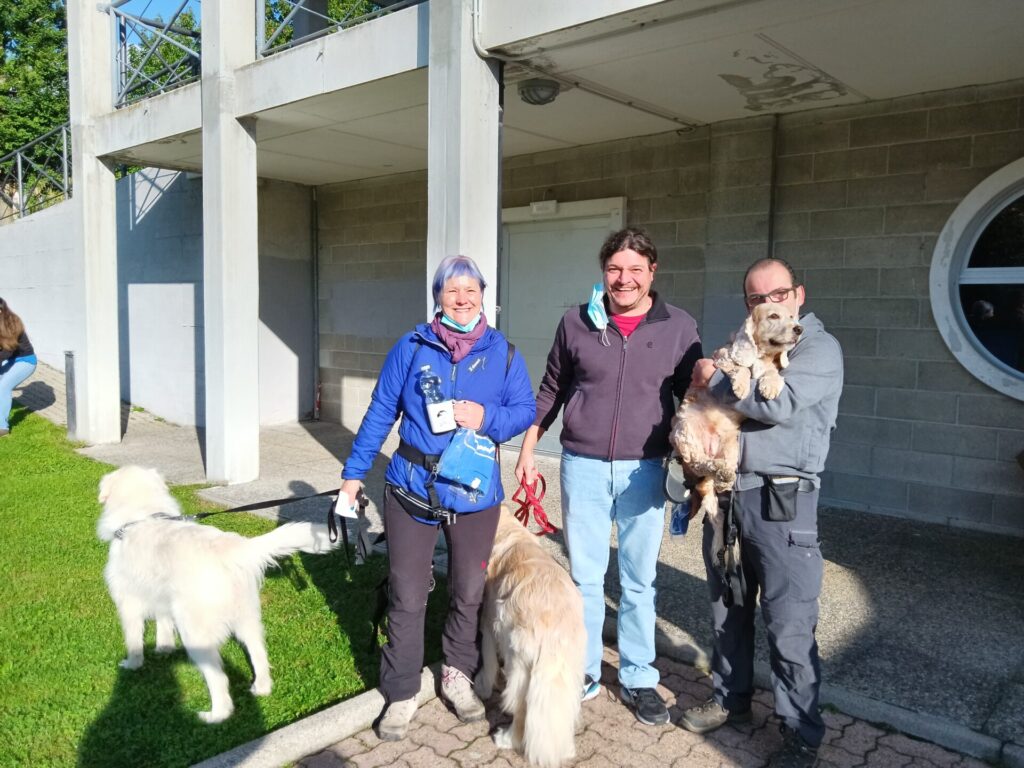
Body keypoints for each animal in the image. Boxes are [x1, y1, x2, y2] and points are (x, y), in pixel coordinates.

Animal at [96, 466, 335, 724]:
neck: (143, 515)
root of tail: (232, 549)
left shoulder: (128, 602)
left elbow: (133, 640)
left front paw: (132, 664)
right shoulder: (161, 597)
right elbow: (164, 624)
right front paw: (164, 648)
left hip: (197, 635)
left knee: (219, 678)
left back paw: (215, 716)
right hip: (248, 619)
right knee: (259, 654)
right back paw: (261, 688)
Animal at [477, 507, 589, 765]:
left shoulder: (488, 621)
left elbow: (488, 660)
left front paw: (482, 686)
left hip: (520, 664)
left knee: (521, 709)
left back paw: (507, 739)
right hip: (569, 670)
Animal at [667, 305, 802, 565]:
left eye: (793, 317)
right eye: (773, 316)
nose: (799, 329)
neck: (761, 356)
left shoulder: (771, 368)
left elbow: (774, 373)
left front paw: (770, 386)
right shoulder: (721, 359)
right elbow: (737, 368)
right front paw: (741, 385)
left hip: (731, 446)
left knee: (718, 507)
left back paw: (724, 478)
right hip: (686, 429)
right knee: (698, 461)